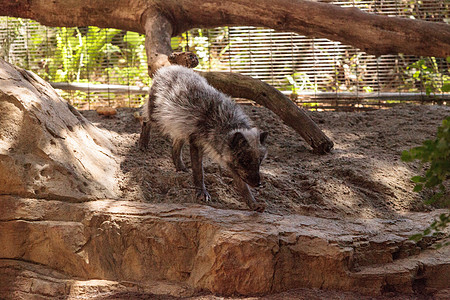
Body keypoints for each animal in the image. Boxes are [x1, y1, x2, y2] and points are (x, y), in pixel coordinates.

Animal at [140, 65, 268, 211]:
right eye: (245, 162)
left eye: (259, 162)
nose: (258, 184)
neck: (223, 124)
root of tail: (168, 68)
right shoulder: (196, 142)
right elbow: (198, 172)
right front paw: (202, 192)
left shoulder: (230, 161)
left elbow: (243, 187)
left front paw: (253, 204)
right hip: (157, 118)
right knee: (145, 119)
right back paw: (143, 143)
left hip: (180, 127)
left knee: (175, 147)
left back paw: (180, 167)